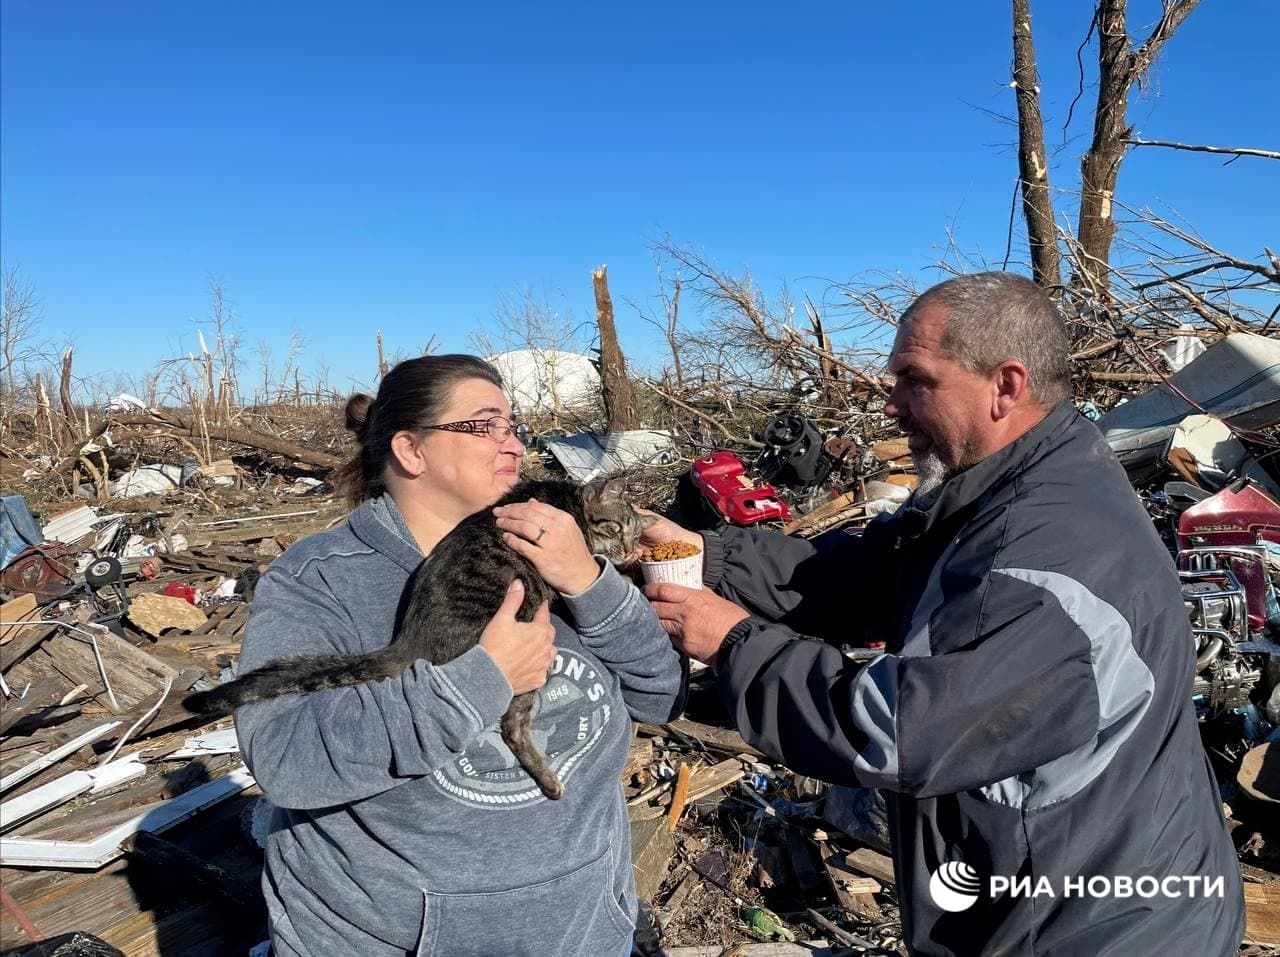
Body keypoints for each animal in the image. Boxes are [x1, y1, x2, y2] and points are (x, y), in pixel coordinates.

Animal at [185, 478, 655, 798]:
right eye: (617, 528)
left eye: (637, 535)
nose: (631, 552)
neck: (568, 504)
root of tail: (411, 638)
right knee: (512, 727)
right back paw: (549, 780)